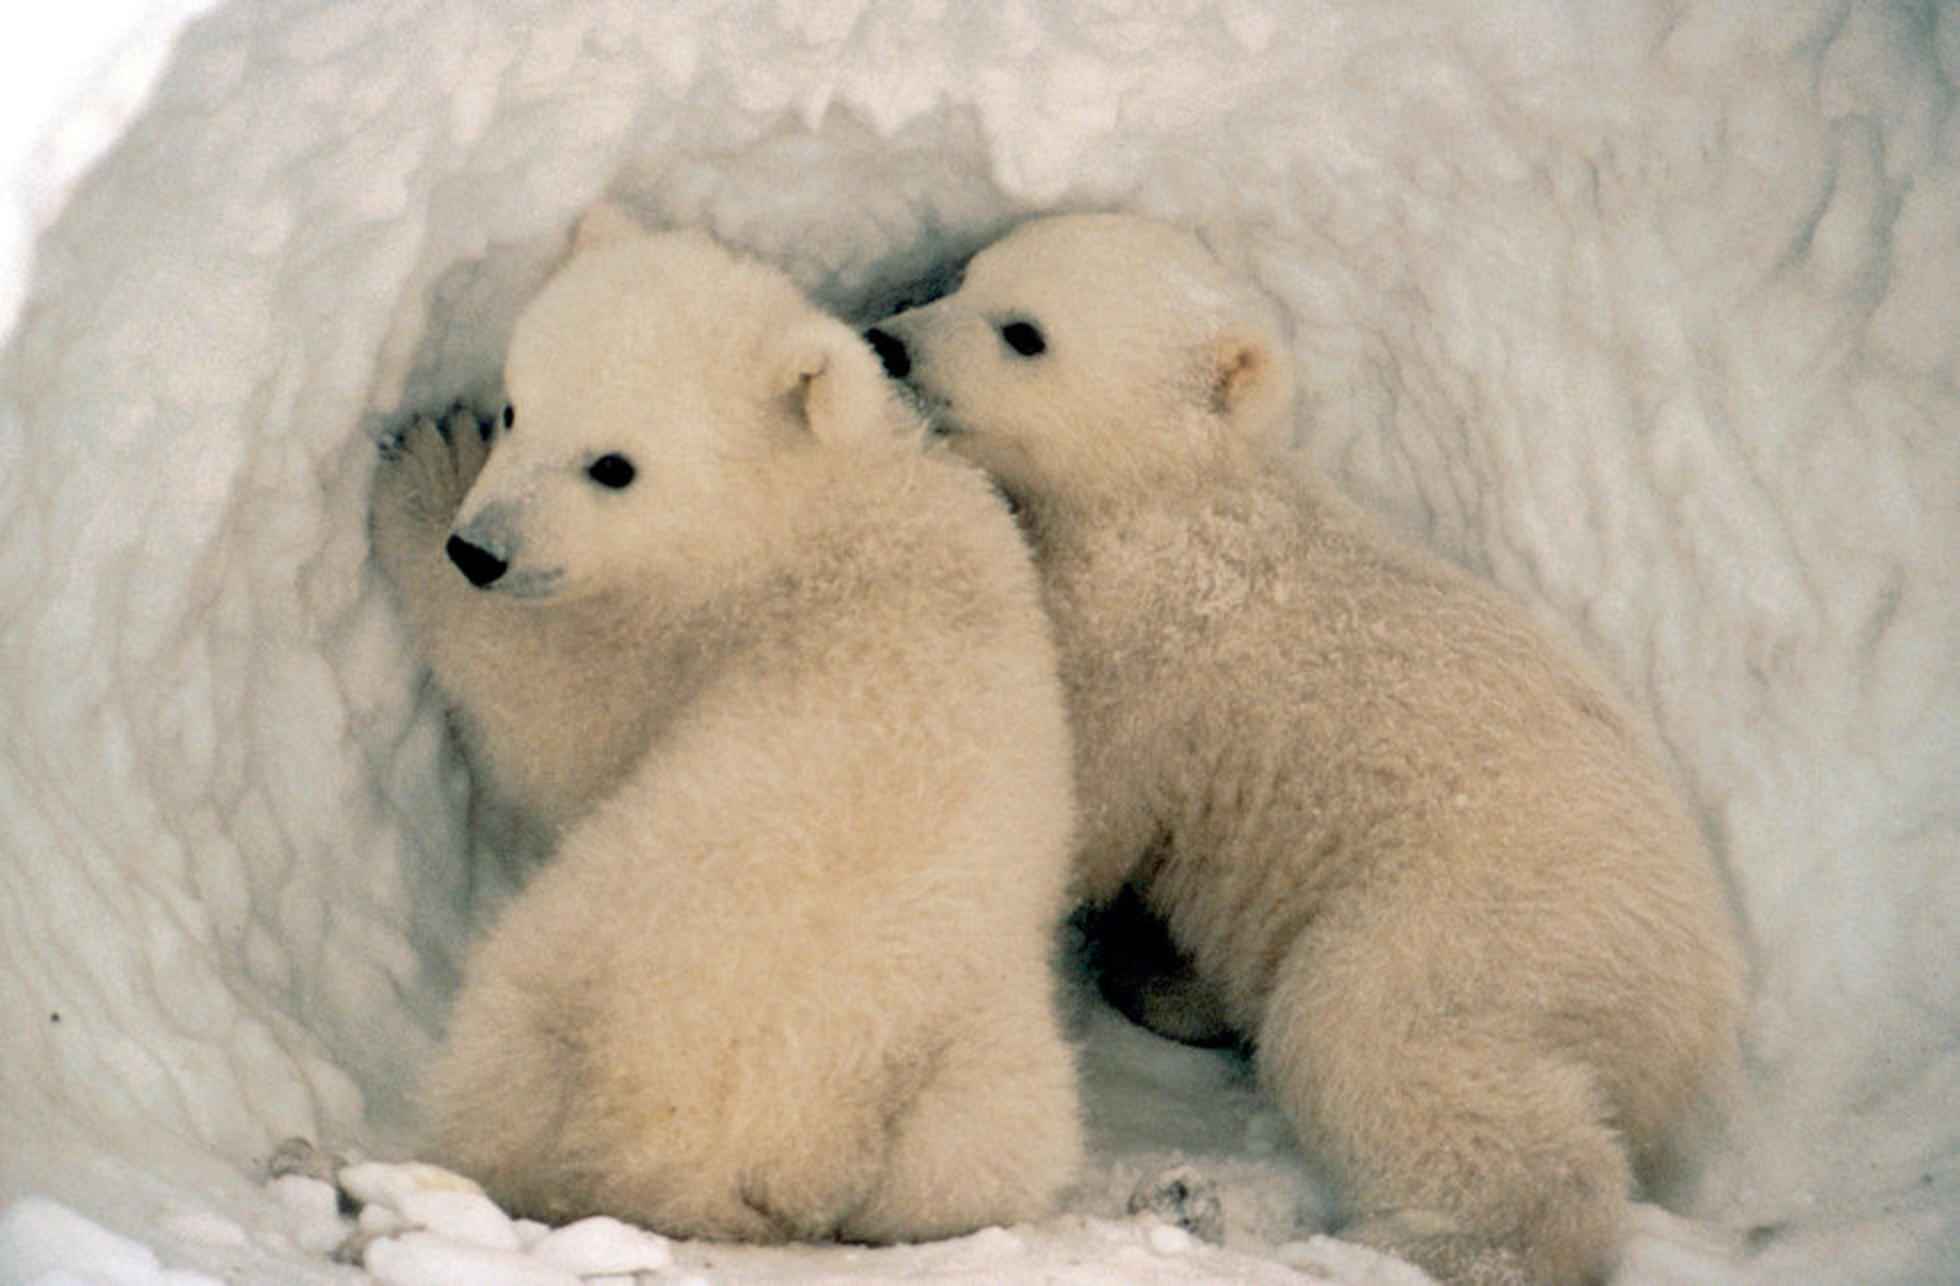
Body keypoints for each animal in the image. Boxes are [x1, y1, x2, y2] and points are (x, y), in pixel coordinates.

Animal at [374, 209, 1084, 1243]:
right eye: (517, 407)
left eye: (614, 467)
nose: (479, 549)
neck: (815, 508)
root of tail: (728, 1148)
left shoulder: (679, 636)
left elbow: (554, 724)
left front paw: (423, 469)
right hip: (966, 1079)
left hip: (571, 971)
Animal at [864, 212, 1746, 1285]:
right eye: (963, 277)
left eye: (1024, 332)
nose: (890, 342)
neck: (1180, 502)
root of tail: (1698, 1004)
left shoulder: (1146, 648)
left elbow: (1077, 803)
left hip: (1487, 920)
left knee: (1377, 1037)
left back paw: (1412, 1241)